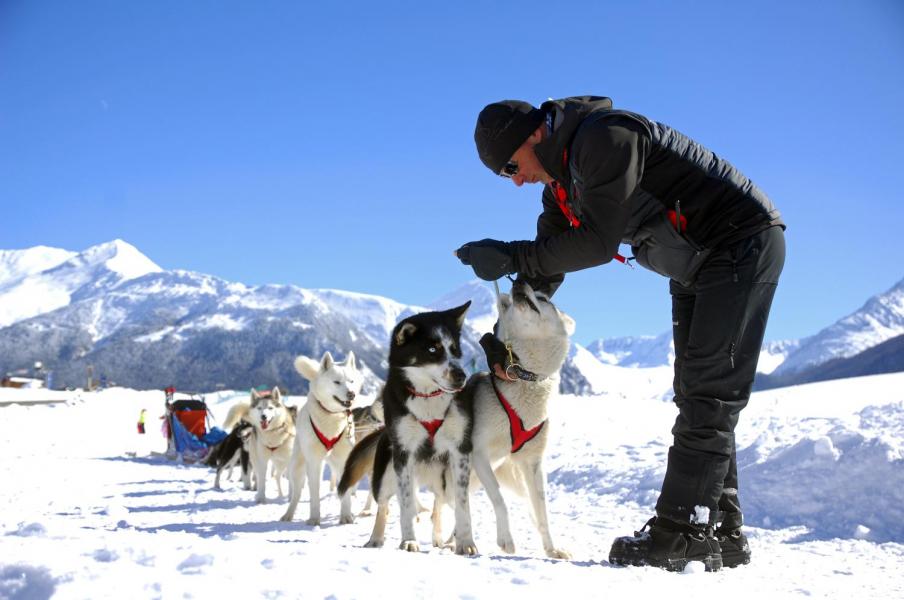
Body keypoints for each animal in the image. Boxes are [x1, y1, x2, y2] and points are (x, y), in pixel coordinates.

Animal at [340, 302, 480, 556]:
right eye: (432, 349)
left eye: (454, 349)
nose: (461, 375)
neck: (428, 398)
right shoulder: (403, 453)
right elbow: (405, 505)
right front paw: (408, 541)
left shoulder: (460, 451)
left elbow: (462, 506)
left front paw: (465, 542)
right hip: (386, 474)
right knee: (383, 505)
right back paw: (375, 539)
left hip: (444, 480)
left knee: (438, 506)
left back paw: (440, 539)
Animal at [470, 278, 576, 560]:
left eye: (544, 298)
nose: (519, 281)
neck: (523, 374)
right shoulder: (478, 453)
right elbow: (499, 500)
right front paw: (506, 539)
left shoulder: (533, 462)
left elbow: (543, 513)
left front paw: (552, 549)